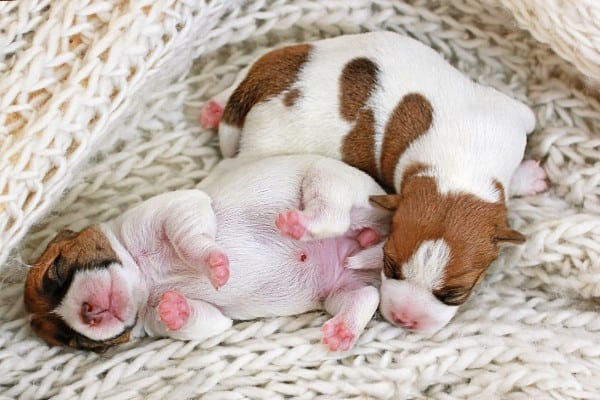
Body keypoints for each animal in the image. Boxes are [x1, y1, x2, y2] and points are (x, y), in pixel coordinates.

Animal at [23, 155, 392, 352]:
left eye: (55, 270)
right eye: (74, 341)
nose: (87, 313)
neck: (144, 279)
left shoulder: (174, 208)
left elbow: (188, 237)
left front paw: (213, 264)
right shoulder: (194, 321)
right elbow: (202, 322)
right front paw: (174, 309)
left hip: (329, 180)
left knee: (332, 214)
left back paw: (298, 223)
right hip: (336, 294)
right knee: (366, 296)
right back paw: (344, 330)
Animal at [200, 29, 548, 332]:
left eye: (454, 294)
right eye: (389, 266)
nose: (405, 319)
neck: (457, 171)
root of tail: (268, 80)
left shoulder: (512, 118)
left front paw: (527, 177)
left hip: (279, 57)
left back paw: (214, 106)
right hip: (265, 148)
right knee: (228, 167)